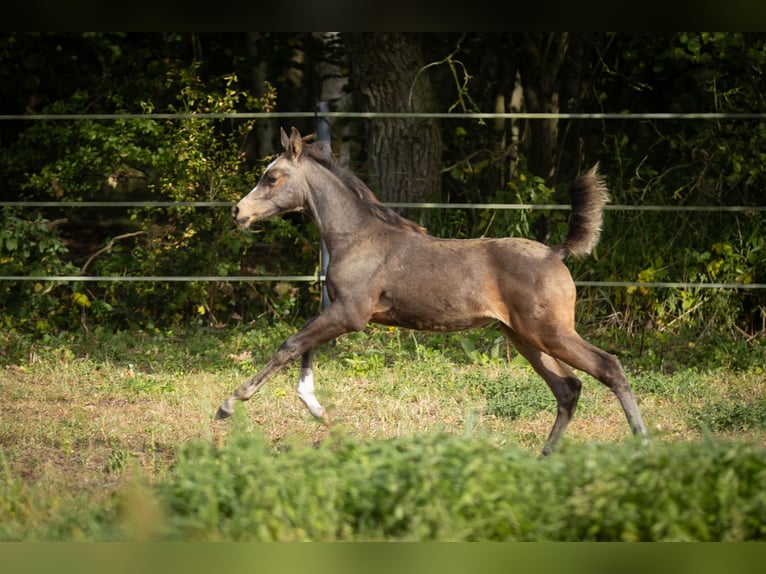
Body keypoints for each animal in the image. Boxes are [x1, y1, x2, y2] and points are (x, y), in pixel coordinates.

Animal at [216, 127, 648, 460]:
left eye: (272, 177)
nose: (238, 212)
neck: (356, 237)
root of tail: (555, 253)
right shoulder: (336, 310)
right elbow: (304, 352)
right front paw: (319, 411)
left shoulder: (350, 314)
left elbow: (289, 346)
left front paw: (229, 404)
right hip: (523, 337)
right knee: (568, 388)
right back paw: (544, 458)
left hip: (550, 332)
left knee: (609, 367)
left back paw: (643, 444)